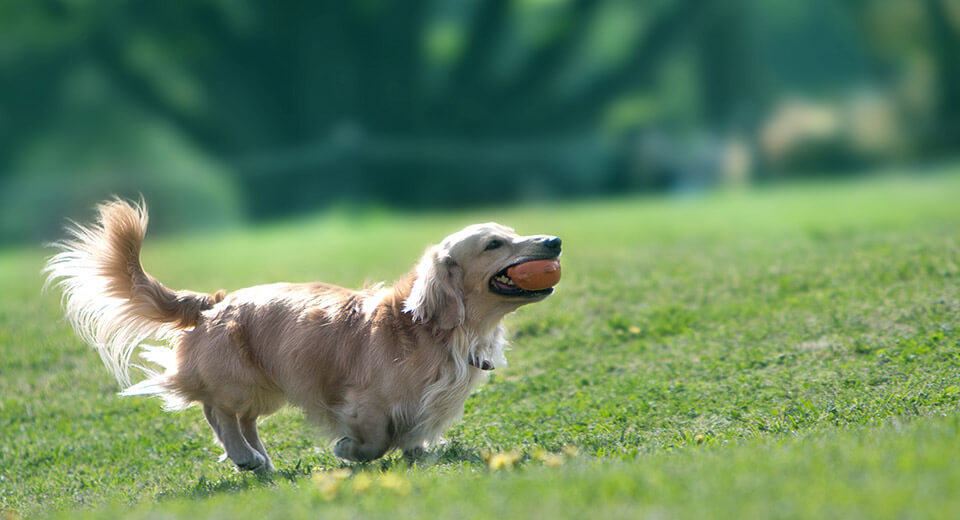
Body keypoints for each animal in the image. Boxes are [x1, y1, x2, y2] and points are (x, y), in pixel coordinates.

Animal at [45, 199, 560, 472]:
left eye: (514, 232)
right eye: (494, 244)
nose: (554, 241)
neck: (430, 330)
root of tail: (214, 303)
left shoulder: (427, 407)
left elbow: (414, 437)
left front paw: (419, 454)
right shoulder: (362, 402)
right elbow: (375, 440)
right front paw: (348, 450)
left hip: (267, 387)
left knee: (243, 419)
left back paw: (258, 457)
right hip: (238, 381)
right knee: (218, 412)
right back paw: (244, 457)